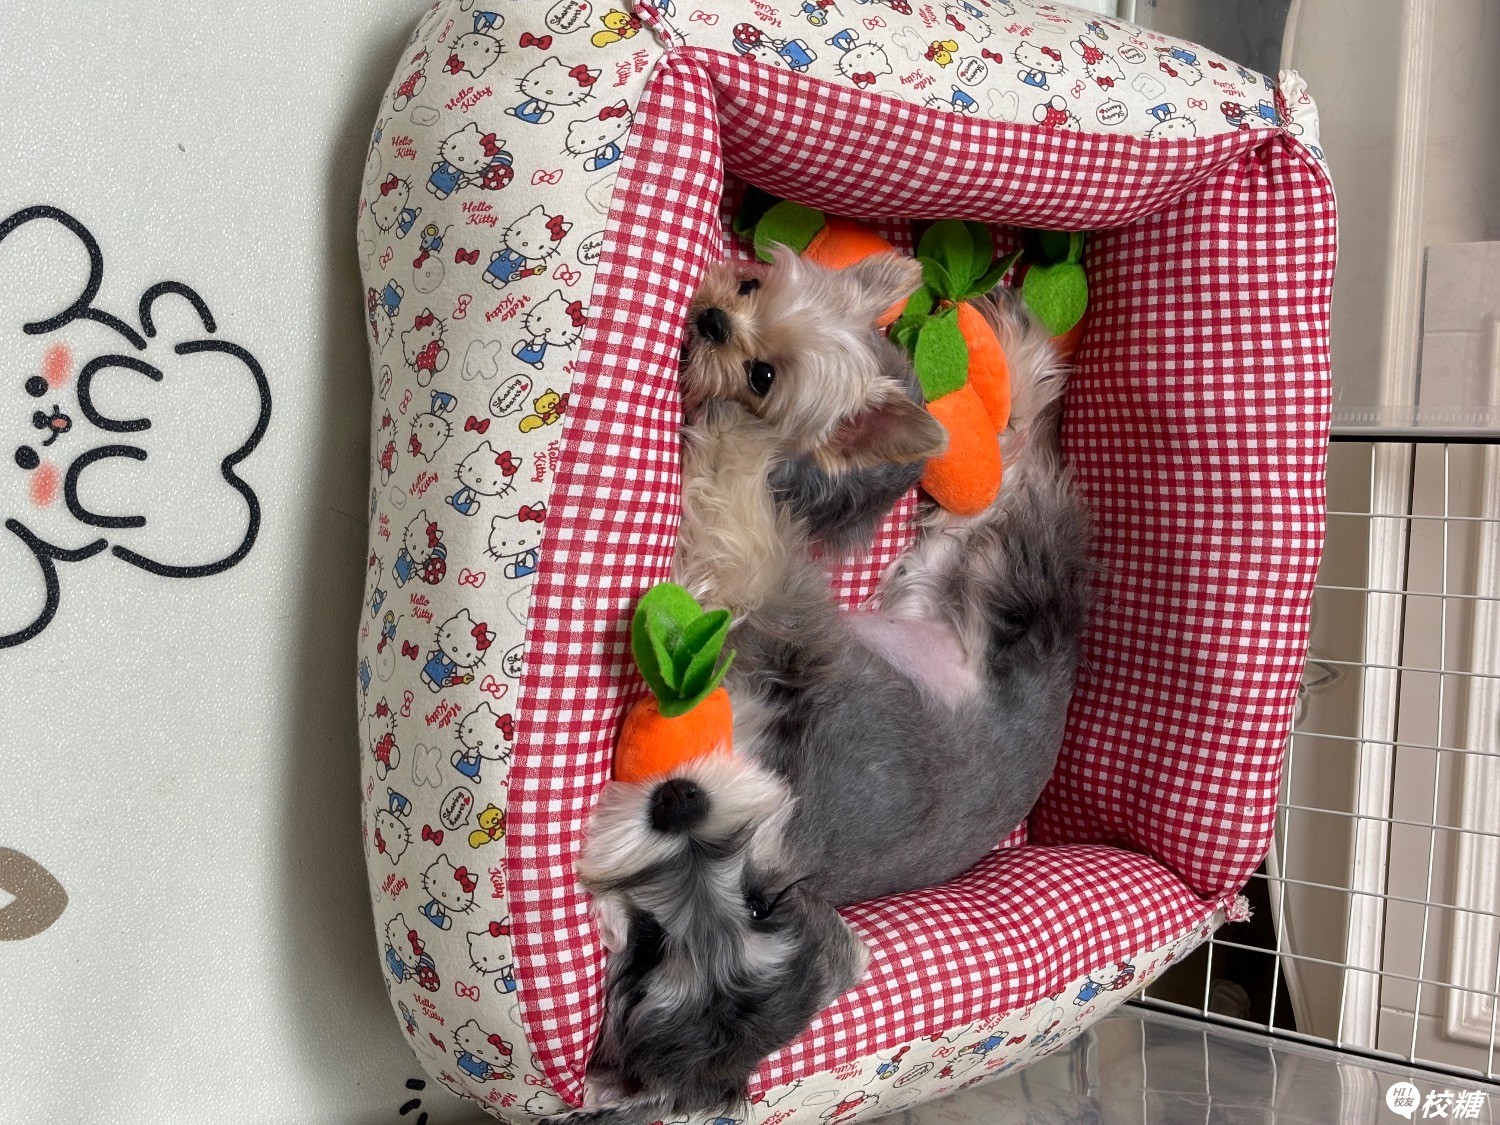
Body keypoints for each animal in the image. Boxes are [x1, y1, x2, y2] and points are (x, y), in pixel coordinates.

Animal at [566, 248, 1092, 1124]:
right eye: (648, 944)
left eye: (756, 904)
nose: (677, 801)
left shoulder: (773, 603)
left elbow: (737, 521)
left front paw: (732, 440)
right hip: (929, 576)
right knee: (998, 475)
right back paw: (1016, 350)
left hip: (1009, 581)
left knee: (1021, 479)